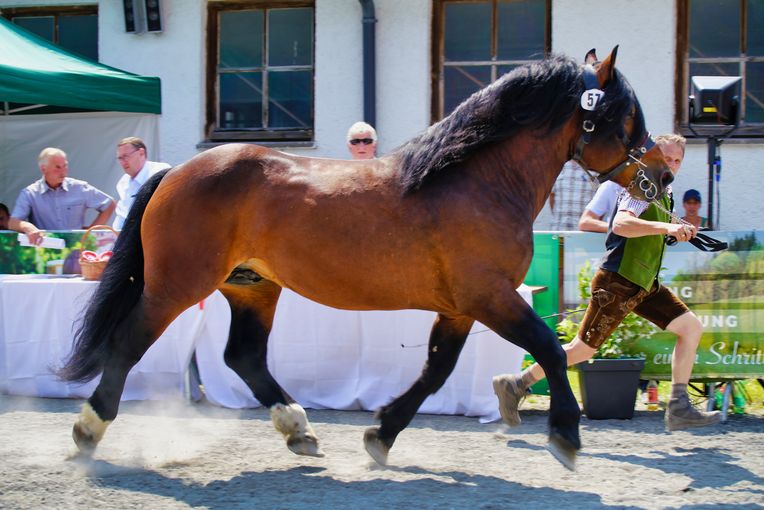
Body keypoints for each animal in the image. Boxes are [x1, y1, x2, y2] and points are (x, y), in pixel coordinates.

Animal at [58, 47, 668, 470]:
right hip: (176, 284)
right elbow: (550, 348)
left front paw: (381, 434)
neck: (478, 183)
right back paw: (88, 429)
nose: (661, 176)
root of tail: (172, 173)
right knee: (128, 343)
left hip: (252, 286)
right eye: (625, 118)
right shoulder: (489, 296)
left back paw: (299, 429)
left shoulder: (461, 307)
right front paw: (566, 435)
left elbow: (436, 370)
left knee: (243, 356)